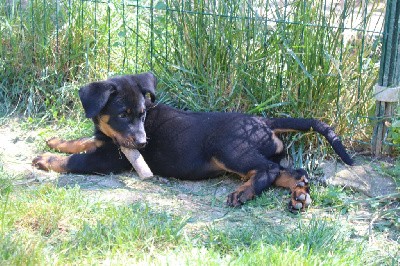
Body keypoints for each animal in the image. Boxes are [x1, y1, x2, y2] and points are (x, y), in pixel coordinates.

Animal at [33, 71, 354, 211]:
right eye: (123, 115)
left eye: (141, 113)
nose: (143, 144)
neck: (110, 134)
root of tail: (264, 122)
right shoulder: (105, 143)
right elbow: (79, 141)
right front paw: (55, 139)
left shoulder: (108, 159)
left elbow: (74, 160)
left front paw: (44, 158)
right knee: (293, 172)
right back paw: (299, 196)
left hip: (228, 149)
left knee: (269, 170)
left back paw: (244, 193)